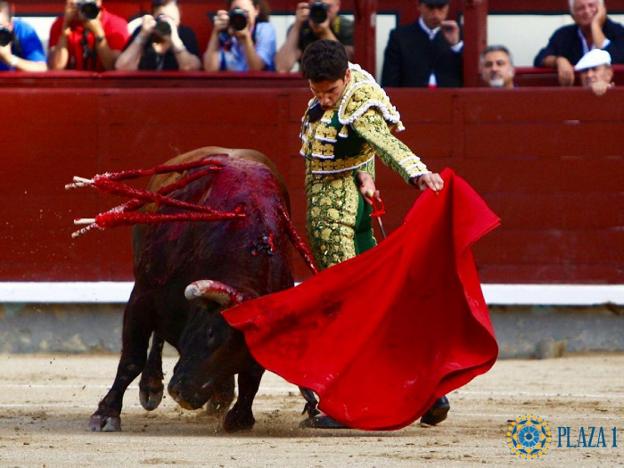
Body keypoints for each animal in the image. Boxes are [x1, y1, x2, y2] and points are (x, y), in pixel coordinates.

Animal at [89, 148, 296, 434]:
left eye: (252, 353)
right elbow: (132, 358)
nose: (186, 395)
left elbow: (252, 377)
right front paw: (106, 414)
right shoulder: (142, 298)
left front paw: (239, 416)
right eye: (210, 333)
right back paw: (151, 387)